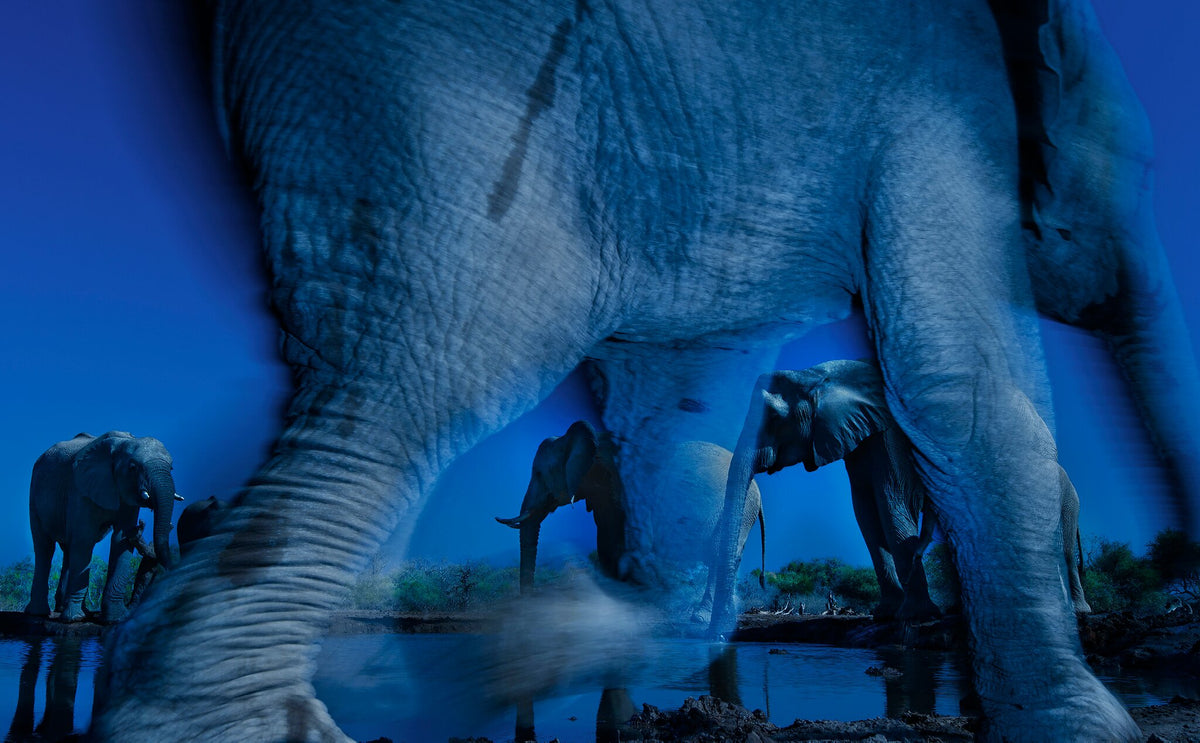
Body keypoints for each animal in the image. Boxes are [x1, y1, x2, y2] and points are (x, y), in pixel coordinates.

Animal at [26, 432, 178, 624]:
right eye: (133, 467)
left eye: (171, 468)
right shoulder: (80, 489)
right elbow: (84, 539)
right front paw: (74, 619)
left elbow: (121, 539)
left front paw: (115, 619)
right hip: (35, 494)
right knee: (45, 547)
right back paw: (40, 613)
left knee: (68, 548)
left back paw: (70, 609)